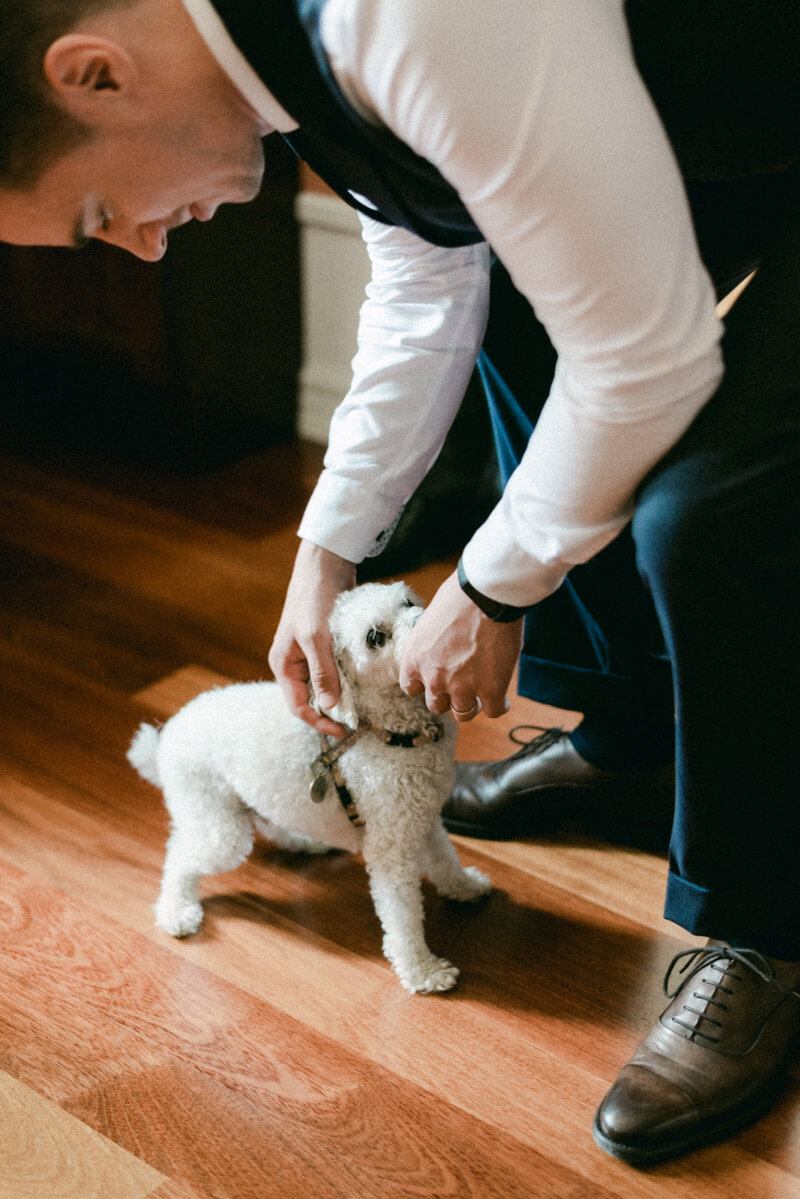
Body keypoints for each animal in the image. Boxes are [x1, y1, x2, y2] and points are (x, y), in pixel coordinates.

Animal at [126, 580, 489, 992]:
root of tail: (166, 737)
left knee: (269, 823)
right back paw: (176, 911)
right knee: (180, 859)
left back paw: (304, 842)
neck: (388, 731)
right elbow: (403, 917)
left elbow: (445, 859)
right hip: (217, 827)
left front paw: (464, 886)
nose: (430, 629)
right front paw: (422, 971)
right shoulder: (391, 849)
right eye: (375, 638)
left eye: (407, 602)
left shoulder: (423, 818)